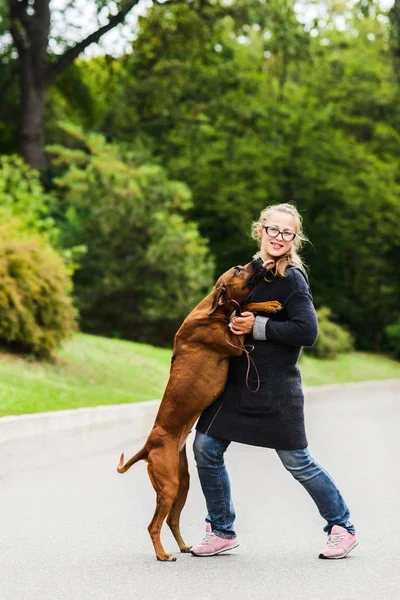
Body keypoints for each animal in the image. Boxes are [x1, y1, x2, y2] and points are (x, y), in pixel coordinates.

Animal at [118, 258, 282, 564]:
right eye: (238, 270)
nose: (256, 259)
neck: (212, 310)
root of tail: (148, 445)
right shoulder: (235, 346)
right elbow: (244, 315)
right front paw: (265, 305)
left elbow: (247, 308)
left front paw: (269, 304)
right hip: (169, 484)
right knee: (154, 524)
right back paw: (162, 554)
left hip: (182, 483)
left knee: (172, 520)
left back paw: (184, 547)